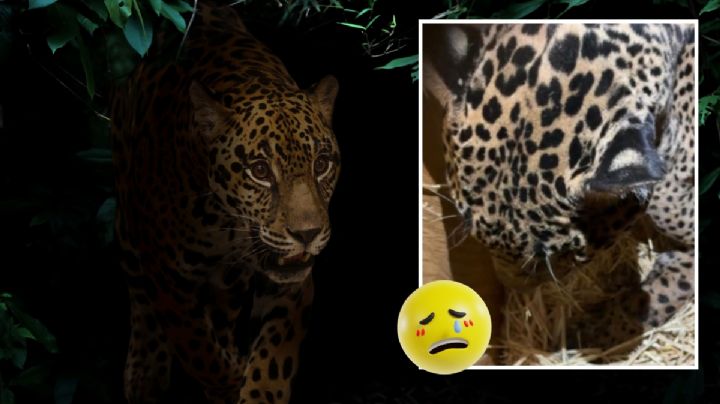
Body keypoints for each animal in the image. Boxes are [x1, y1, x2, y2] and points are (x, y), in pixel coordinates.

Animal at [110, 3, 340, 403]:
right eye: (260, 170)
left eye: (322, 164)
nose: (307, 233)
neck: (224, 223)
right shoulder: (168, 278)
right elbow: (198, 350)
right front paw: (230, 381)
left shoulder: (289, 285)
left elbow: (271, 360)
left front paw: (253, 386)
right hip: (128, 224)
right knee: (139, 294)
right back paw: (144, 373)